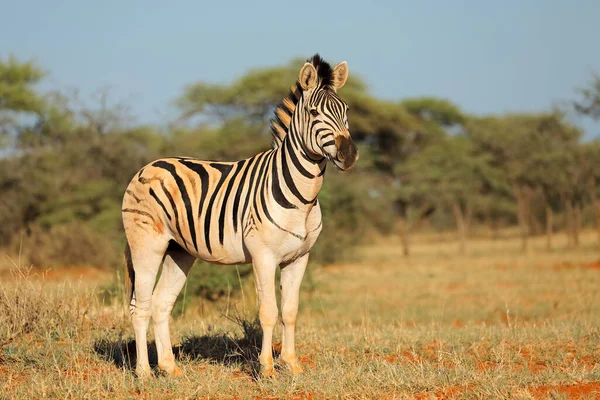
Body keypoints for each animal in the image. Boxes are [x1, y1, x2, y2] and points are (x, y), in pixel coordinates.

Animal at [121, 54, 356, 378]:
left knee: (160, 303)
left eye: (346, 110)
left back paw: (170, 368)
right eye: (313, 112)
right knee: (140, 306)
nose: (349, 154)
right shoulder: (263, 256)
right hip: (146, 245)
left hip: (179, 251)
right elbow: (268, 311)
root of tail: (150, 165)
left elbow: (290, 311)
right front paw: (267, 368)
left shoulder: (299, 257)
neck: (303, 198)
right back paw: (144, 372)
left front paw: (292, 365)